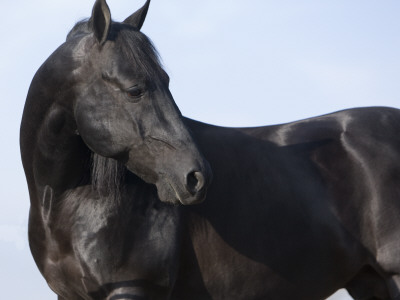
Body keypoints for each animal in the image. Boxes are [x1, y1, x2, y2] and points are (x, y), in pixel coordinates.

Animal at [20, 0, 400, 300]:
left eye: (167, 82)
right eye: (134, 90)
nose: (197, 177)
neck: (66, 201)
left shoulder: (130, 289)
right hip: (370, 282)